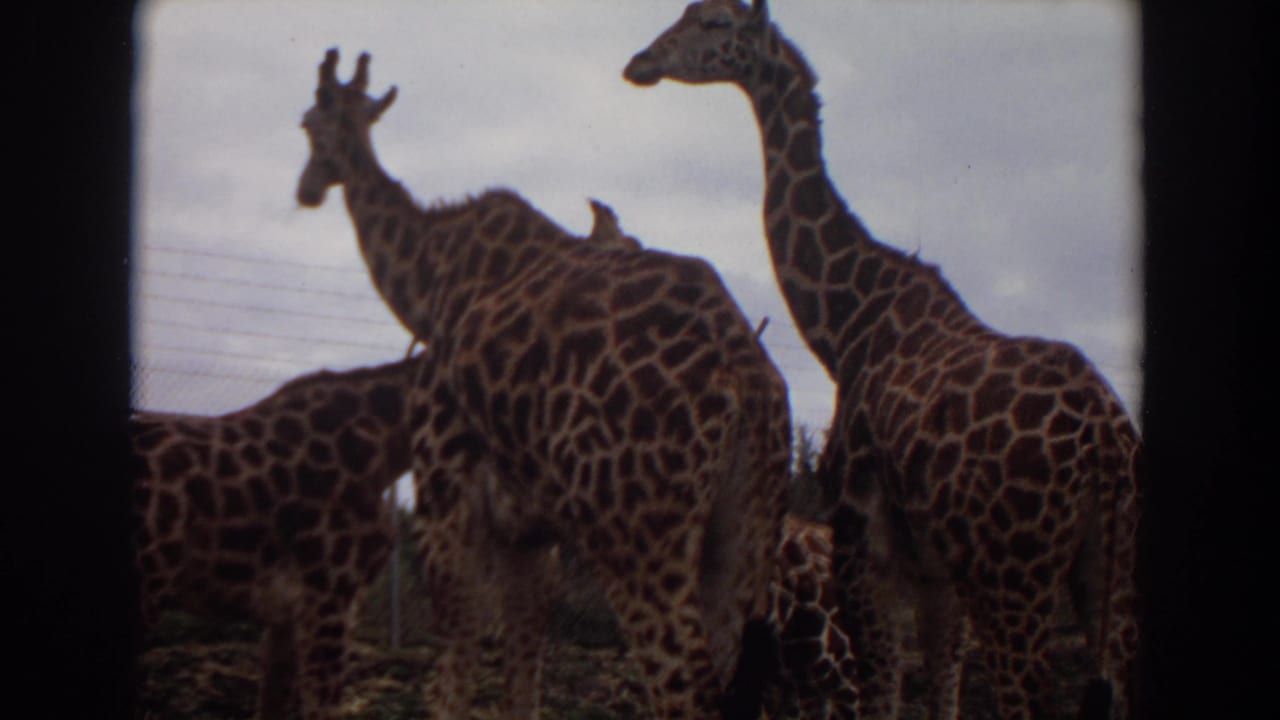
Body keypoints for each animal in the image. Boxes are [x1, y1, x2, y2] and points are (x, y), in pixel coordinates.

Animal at [294, 49, 792, 719]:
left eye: (306, 123)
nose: (307, 189)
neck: (429, 282)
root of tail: (746, 384)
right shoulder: (533, 532)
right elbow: (522, 667)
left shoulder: (445, 494)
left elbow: (453, 670)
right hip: (746, 536)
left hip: (638, 535)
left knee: (686, 688)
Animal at [625, 2, 1144, 719]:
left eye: (712, 21)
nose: (640, 62)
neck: (845, 325)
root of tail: (1105, 444)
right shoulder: (934, 570)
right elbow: (941, 690)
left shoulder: (861, 544)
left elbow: (882, 690)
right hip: (1105, 573)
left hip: (1014, 578)